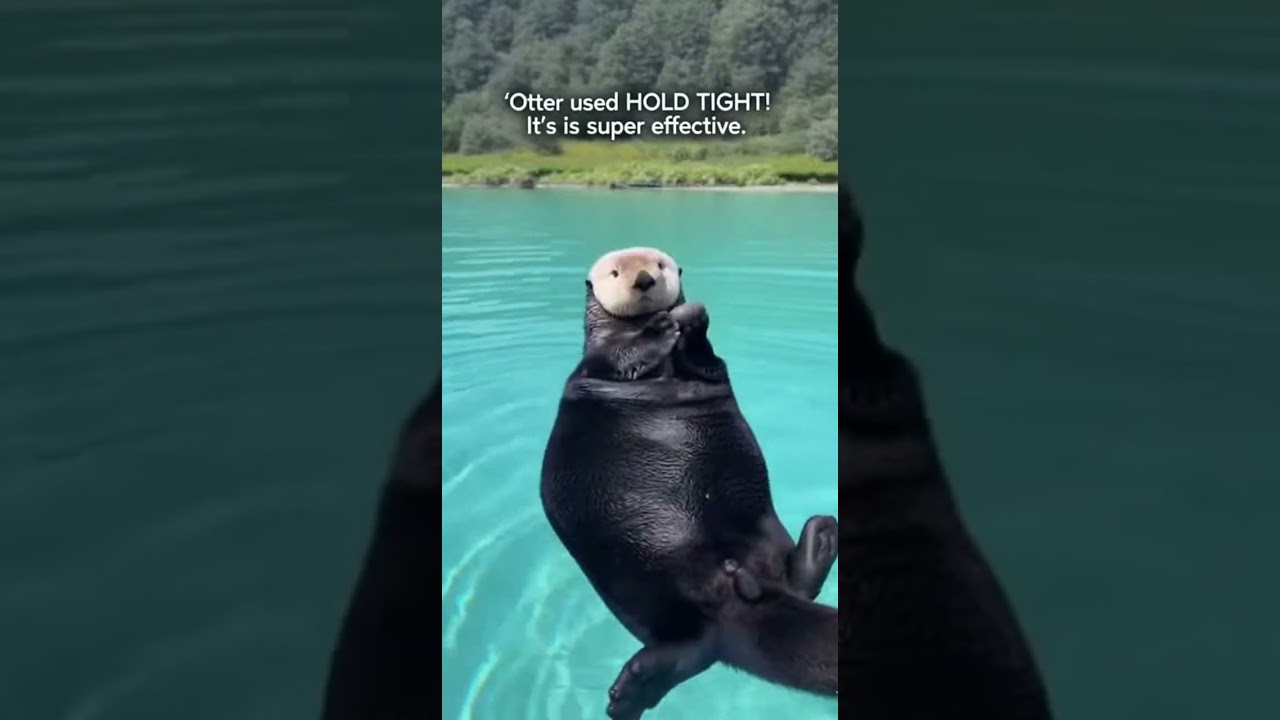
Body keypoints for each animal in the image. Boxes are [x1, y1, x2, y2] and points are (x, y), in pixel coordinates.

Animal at [541, 247, 839, 720]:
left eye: (660, 266)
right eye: (615, 272)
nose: (644, 280)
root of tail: (734, 588)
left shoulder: (705, 369)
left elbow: (707, 363)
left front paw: (693, 322)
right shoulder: (599, 357)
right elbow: (619, 356)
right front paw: (664, 326)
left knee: (779, 596)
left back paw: (822, 535)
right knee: (690, 650)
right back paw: (627, 694)